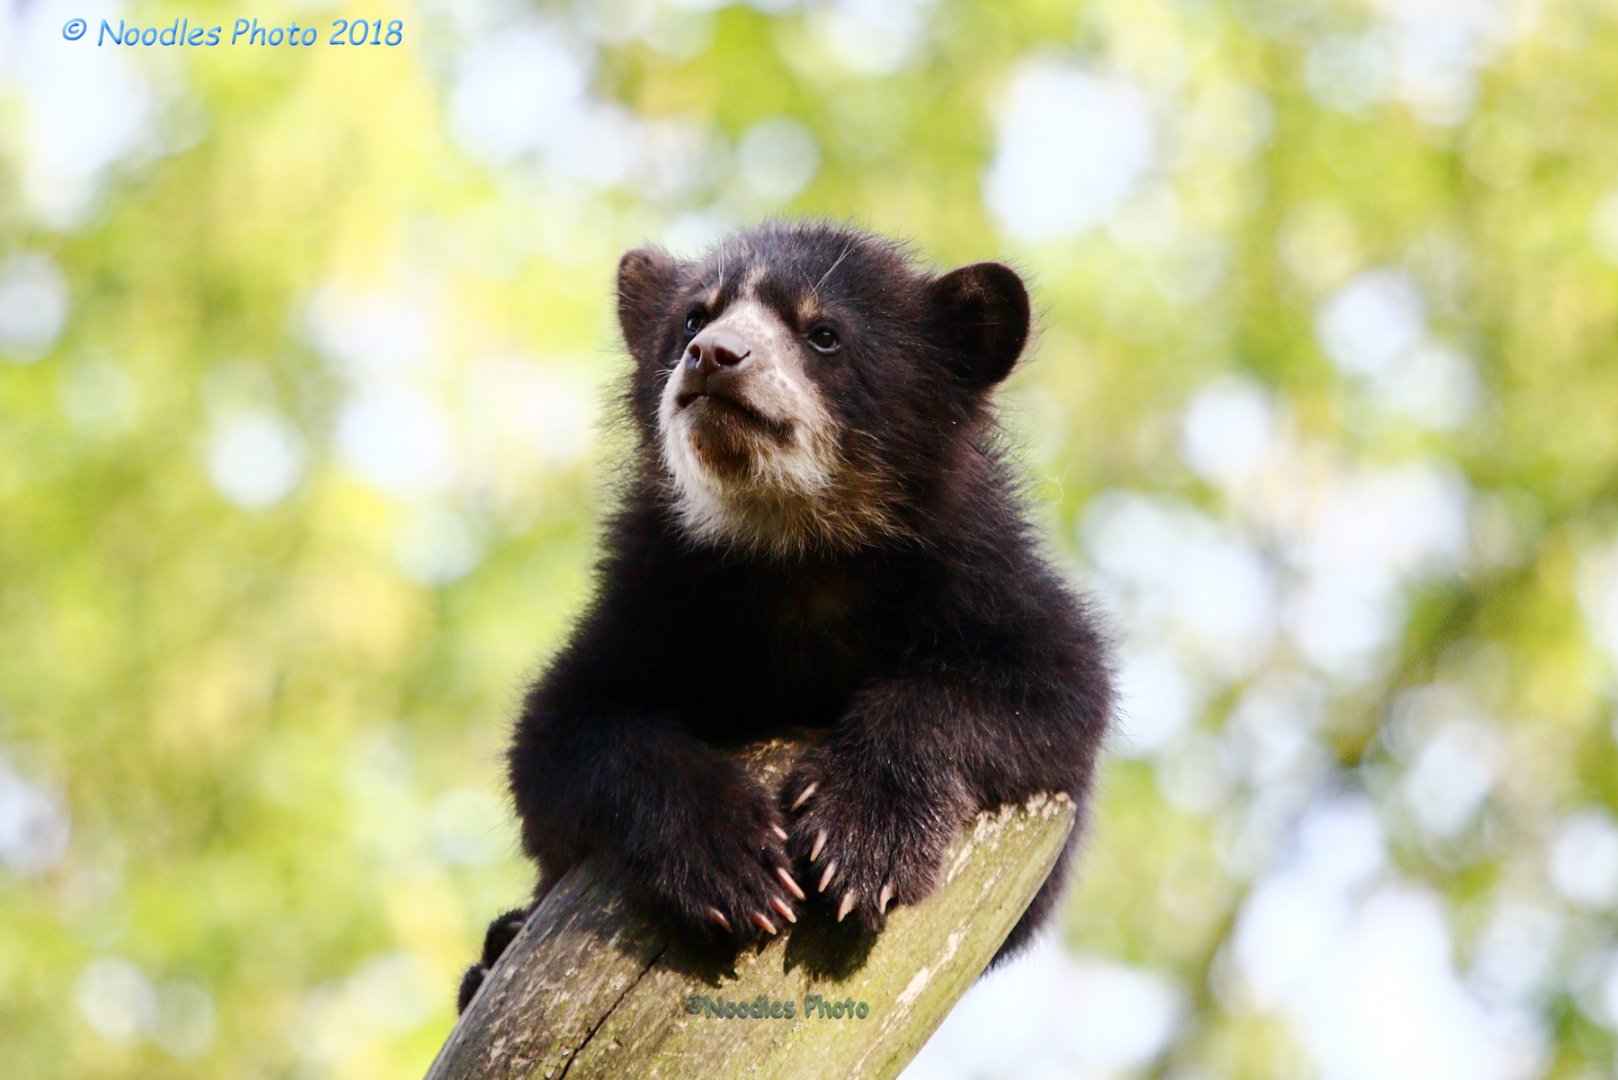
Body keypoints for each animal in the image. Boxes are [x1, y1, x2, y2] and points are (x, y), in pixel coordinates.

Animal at [457, 220, 1113, 1013]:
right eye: (693, 318)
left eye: (823, 334)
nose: (713, 356)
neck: (796, 549)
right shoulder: (653, 594)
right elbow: (563, 732)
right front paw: (735, 866)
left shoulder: (980, 572)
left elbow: (1051, 687)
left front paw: (860, 845)